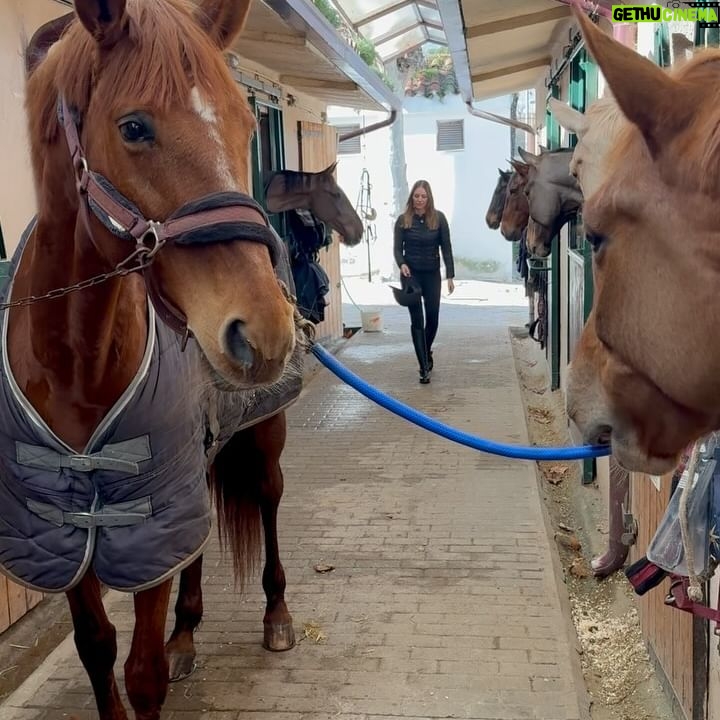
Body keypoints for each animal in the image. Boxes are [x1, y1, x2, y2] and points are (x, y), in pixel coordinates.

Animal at [0, 1, 352, 720]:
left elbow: (143, 672)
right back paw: (188, 630)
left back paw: (276, 617)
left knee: (268, 502)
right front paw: (166, 639)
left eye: (245, 123)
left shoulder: (147, 519)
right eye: (134, 127)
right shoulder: (65, 524)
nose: (264, 330)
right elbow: (96, 650)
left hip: (262, 438)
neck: (75, 363)